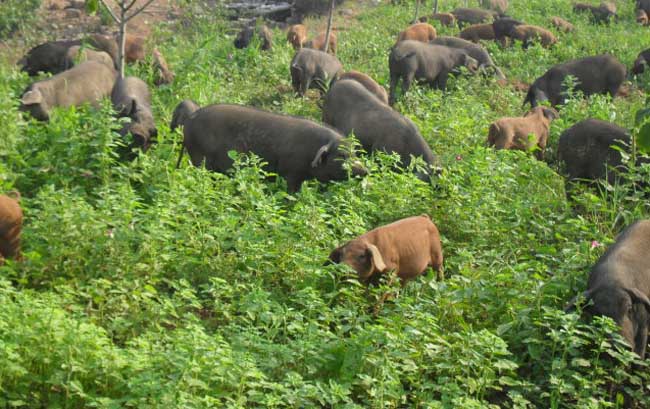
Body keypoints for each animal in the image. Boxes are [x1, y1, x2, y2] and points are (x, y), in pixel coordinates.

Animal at [175, 102, 364, 191]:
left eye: (354, 153)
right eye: (342, 156)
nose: (365, 170)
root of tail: (190, 119)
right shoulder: (291, 173)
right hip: (200, 158)